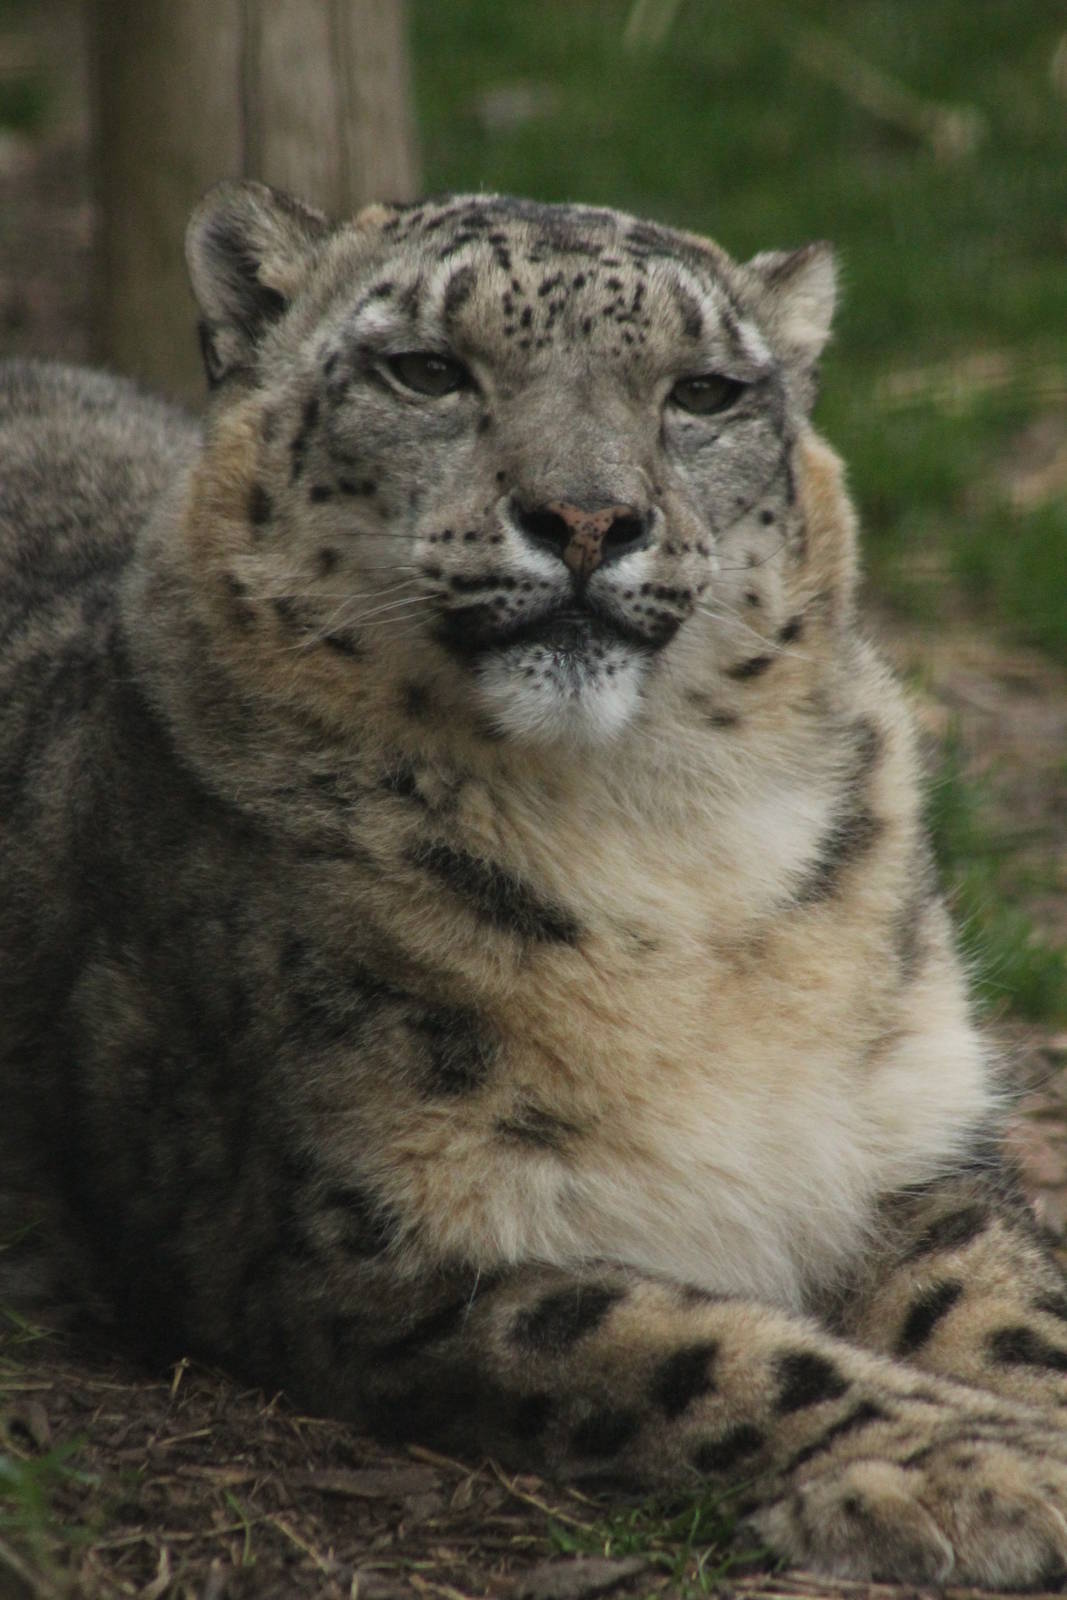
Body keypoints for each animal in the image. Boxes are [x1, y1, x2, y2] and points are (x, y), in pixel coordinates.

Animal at [4, 179, 1067, 1588]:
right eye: (424, 371)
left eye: (703, 392)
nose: (586, 519)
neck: (658, 830)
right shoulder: (369, 1237)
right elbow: (703, 1356)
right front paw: (981, 1464)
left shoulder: (916, 1136)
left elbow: (1006, 1303)